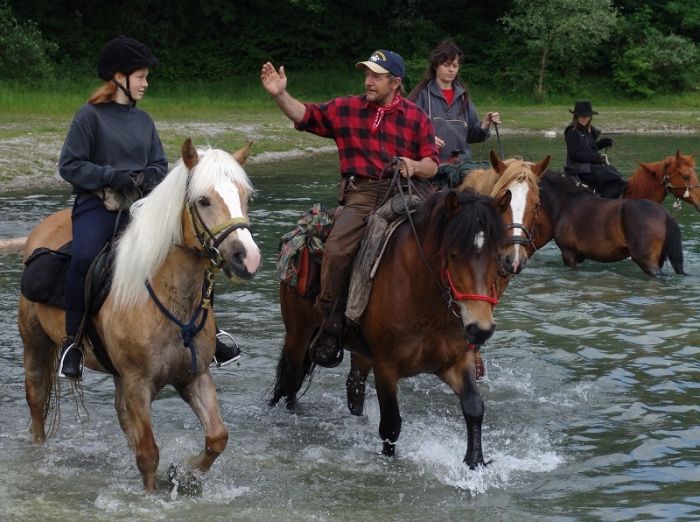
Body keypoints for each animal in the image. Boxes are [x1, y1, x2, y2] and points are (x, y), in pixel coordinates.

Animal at [17, 137, 262, 488]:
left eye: (244, 197)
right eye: (203, 201)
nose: (248, 259)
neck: (169, 296)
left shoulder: (195, 376)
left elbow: (217, 437)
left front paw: (185, 473)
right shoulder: (138, 384)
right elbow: (148, 454)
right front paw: (151, 493)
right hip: (35, 343)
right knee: (37, 401)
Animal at [270, 189, 508, 466]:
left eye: (497, 257)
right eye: (453, 254)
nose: (481, 329)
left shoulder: (457, 360)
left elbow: (474, 407)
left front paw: (475, 462)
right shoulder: (386, 366)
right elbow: (391, 424)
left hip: (362, 354)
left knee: (353, 388)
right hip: (298, 335)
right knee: (291, 382)